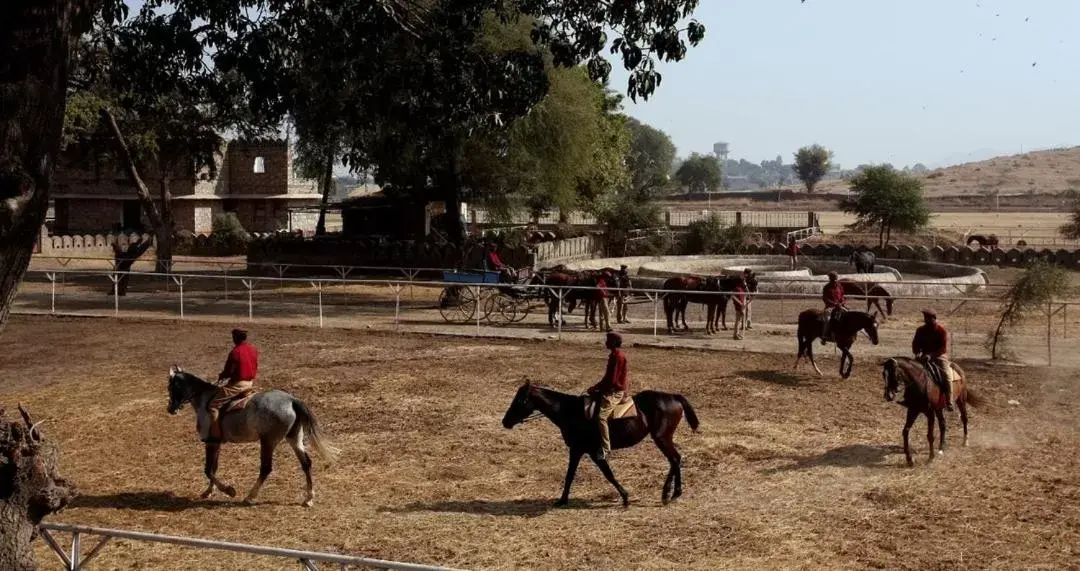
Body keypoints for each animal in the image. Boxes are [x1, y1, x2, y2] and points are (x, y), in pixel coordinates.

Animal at [164, 362, 336, 505]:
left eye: (171, 387)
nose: (170, 409)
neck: (204, 398)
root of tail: (291, 400)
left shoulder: (210, 442)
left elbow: (208, 470)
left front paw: (229, 490)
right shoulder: (216, 443)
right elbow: (214, 468)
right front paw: (208, 492)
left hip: (268, 442)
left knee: (266, 468)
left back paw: (250, 497)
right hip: (294, 439)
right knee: (306, 463)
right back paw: (308, 498)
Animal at [498, 379, 699, 505]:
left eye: (519, 400)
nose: (505, 421)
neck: (570, 411)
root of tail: (673, 397)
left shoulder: (592, 451)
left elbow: (608, 474)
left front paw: (625, 497)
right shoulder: (577, 450)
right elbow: (570, 475)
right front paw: (562, 500)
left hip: (661, 438)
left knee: (674, 459)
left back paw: (668, 494)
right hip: (663, 438)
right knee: (675, 459)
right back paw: (672, 493)